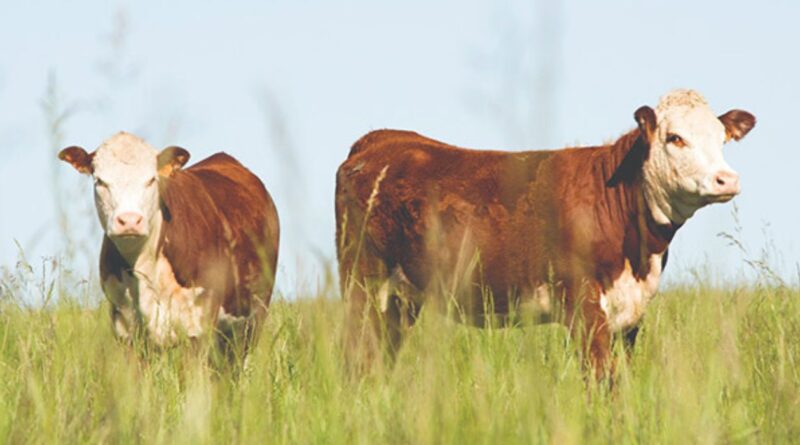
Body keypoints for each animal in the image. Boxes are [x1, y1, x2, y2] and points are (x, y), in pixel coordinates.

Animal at [58, 131, 278, 358]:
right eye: (100, 181)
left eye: (151, 180)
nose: (129, 220)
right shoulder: (125, 330)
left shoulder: (198, 327)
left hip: (252, 318)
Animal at [332, 88, 756, 372]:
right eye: (674, 138)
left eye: (721, 139)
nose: (727, 179)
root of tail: (381, 140)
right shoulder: (583, 307)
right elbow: (602, 382)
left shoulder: (631, 316)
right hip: (363, 285)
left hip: (401, 301)